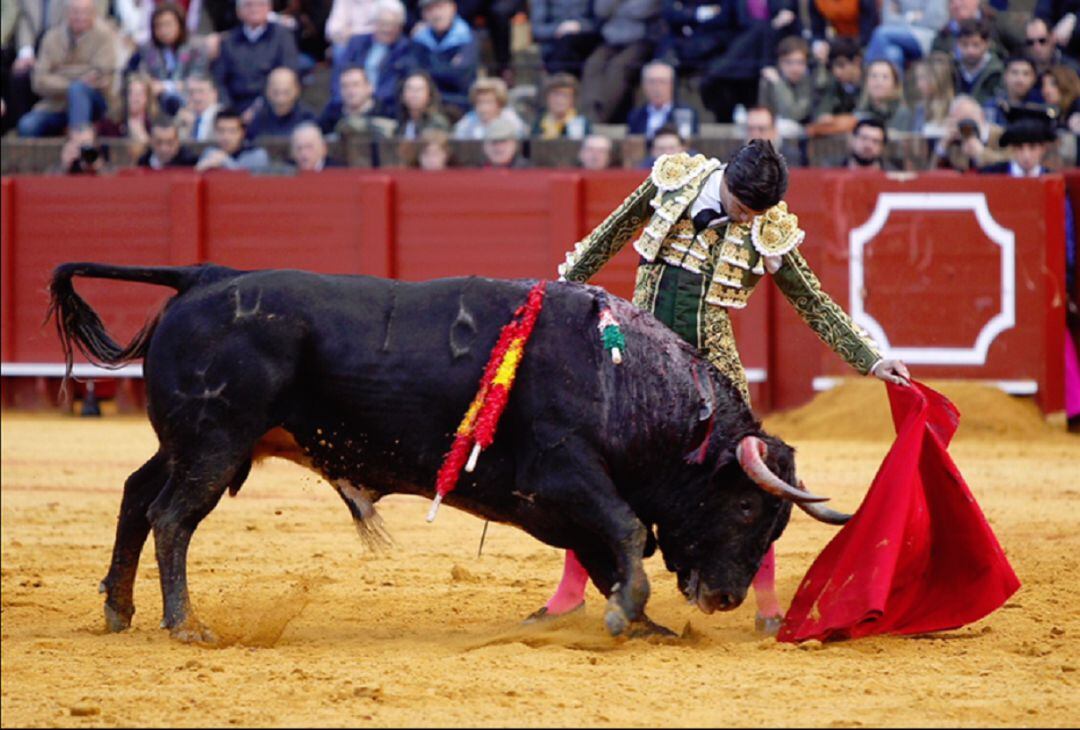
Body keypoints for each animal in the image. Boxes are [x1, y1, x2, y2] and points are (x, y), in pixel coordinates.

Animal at [50, 263, 842, 643]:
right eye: (748, 509)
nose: (726, 597)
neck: (625, 378)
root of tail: (205, 275)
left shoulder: (555, 502)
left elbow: (611, 550)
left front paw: (644, 624)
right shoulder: (561, 475)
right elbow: (625, 532)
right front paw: (630, 617)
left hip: (187, 443)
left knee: (135, 496)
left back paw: (119, 609)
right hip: (215, 443)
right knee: (172, 517)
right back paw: (184, 624)